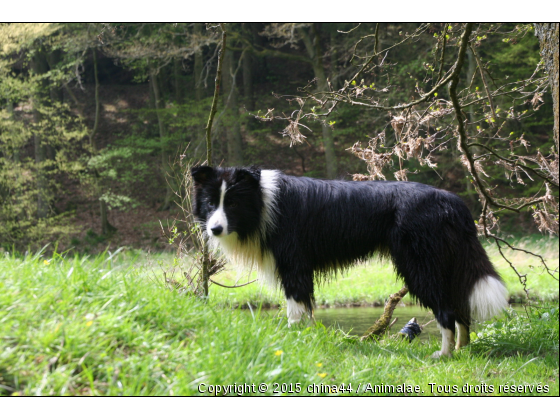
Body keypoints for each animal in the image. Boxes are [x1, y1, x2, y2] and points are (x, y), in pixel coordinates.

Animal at [191, 166, 508, 356]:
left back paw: (444, 354)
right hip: (446, 264)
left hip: (420, 265)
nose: (214, 229)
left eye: (232, 203)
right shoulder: (301, 267)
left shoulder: (294, 263)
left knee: (446, 309)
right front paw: (308, 339)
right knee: (460, 305)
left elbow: (295, 307)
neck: (261, 201)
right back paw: (463, 350)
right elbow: (307, 308)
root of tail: (452, 202)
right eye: (210, 204)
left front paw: (293, 340)